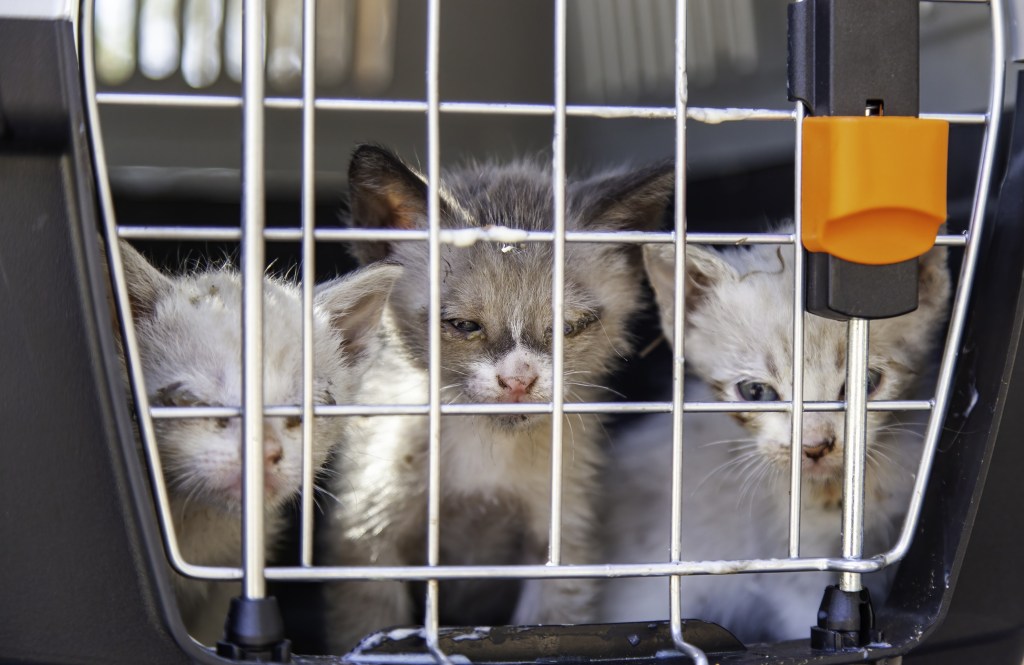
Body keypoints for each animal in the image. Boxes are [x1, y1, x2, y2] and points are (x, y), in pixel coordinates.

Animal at [319, 143, 671, 647]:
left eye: (569, 327)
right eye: (463, 324)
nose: (519, 380)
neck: (483, 452)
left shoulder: (562, 541)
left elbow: (551, 626)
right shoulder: (365, 538)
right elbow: (369, 629)